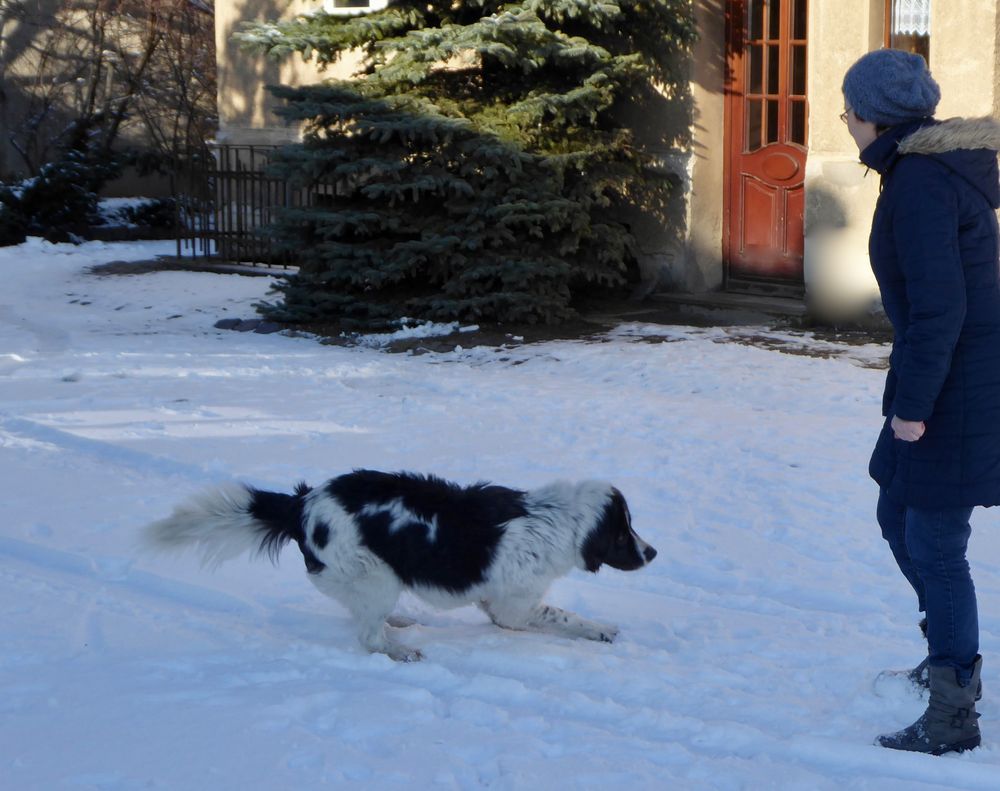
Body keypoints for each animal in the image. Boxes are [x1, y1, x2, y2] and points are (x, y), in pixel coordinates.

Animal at [143, 470, 656, 664]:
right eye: (623, 533)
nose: (652, 553)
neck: (552, 520)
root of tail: (302, 503)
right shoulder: (515, 606)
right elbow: (562, 616)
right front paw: (602, 630)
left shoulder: (500, 606)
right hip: (376, 574)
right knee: (368, 638)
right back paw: (401, 650)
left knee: (364, 618)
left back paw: (402, 621)